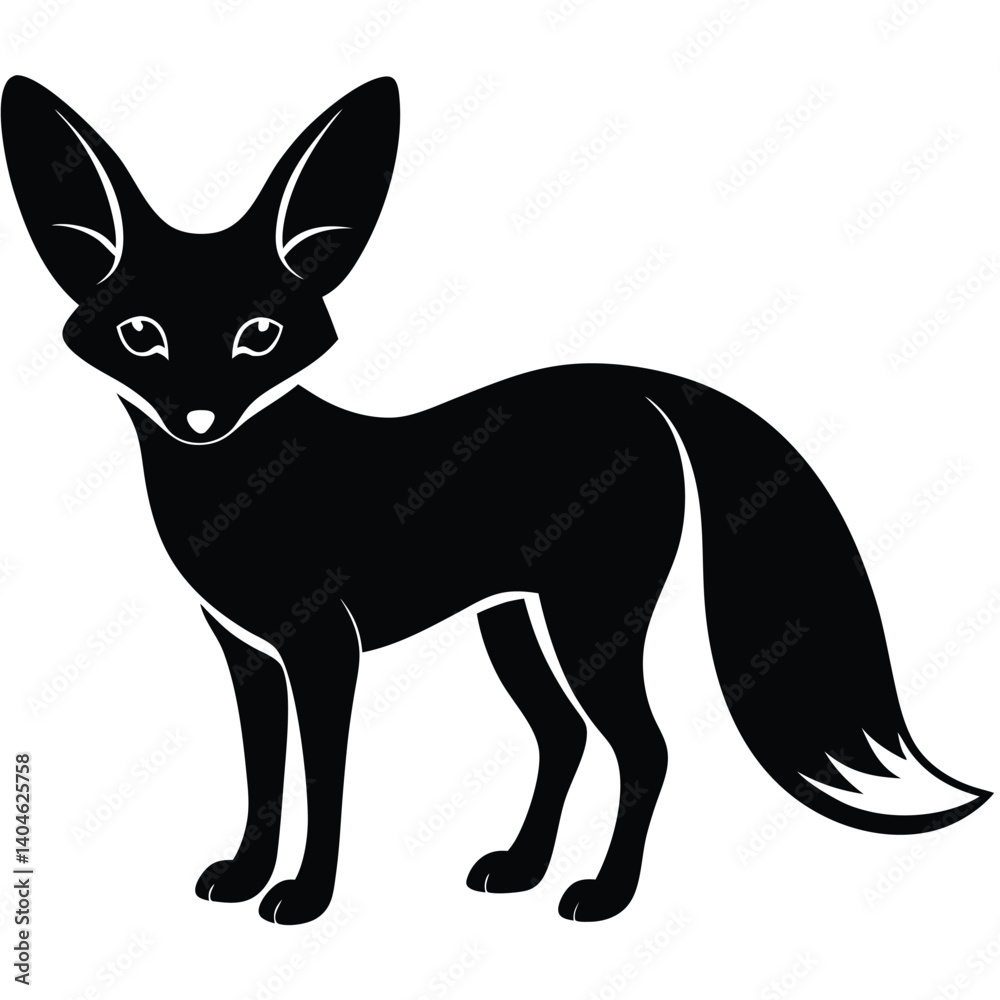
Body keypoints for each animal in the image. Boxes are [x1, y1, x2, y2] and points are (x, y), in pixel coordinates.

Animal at [2, 74, 990, 925]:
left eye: (260, 335)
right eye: (142, 334)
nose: (200, 419)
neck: (238, 493)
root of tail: (636, 387)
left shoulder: (323, 649)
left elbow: (324, 781)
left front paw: (305, 899)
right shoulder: (246, 652)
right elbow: (264, 778)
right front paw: (245, 876)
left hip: (590, 620)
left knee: (644, 747)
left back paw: (603, 895)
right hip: (511, 621)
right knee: (563, 738)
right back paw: (520, 869)